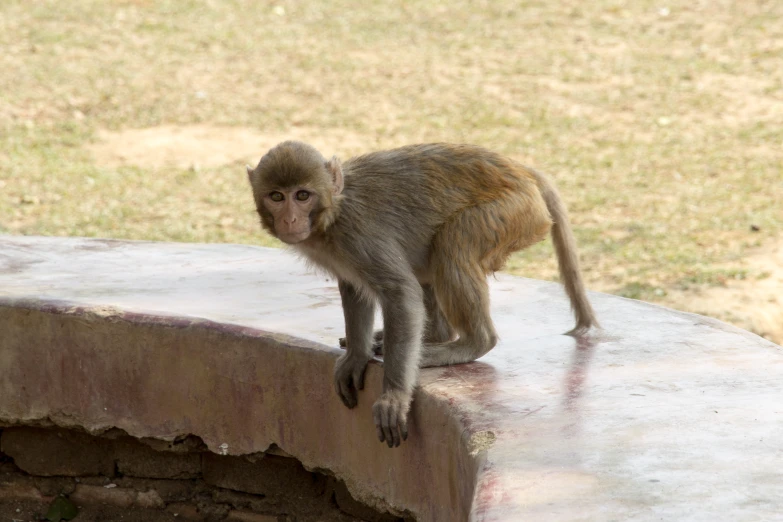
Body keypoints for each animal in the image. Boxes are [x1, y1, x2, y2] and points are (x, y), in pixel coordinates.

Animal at [248, 140, 596, 444]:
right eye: (277, 196)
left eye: (302, 195)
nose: (290, 219)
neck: (334, 211)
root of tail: (520, 170)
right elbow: (354, 288)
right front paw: (356, 356)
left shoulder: (357, 235)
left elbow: (400, 292)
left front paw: (394, 396)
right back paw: (430, 337)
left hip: (510, 212)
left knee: (452, 242)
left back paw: (468, 344)